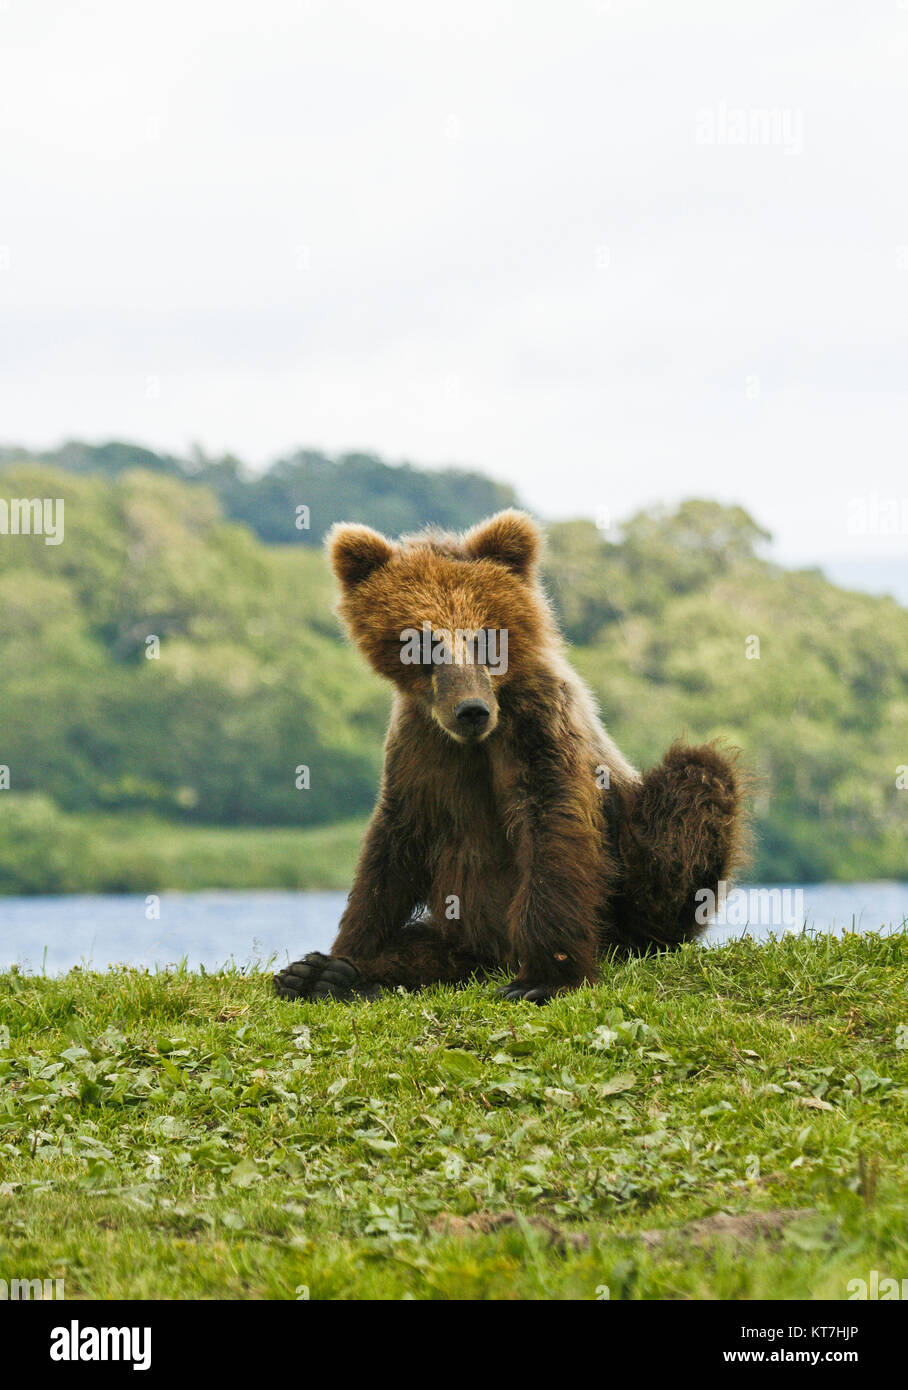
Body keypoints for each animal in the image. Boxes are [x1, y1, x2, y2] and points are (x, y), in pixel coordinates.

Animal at [271, 508, 745, 1000]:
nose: (471, 710)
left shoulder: (539, 731)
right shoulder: (418, 748)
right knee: (429, 948)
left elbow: (554, 830)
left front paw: (544, 978)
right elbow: (390, 851)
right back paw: (329, 977)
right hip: (460, 936)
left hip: (635, 875)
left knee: (696, 782)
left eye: (484, 637)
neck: (477, 740)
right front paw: (340, 956)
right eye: (422, 640)